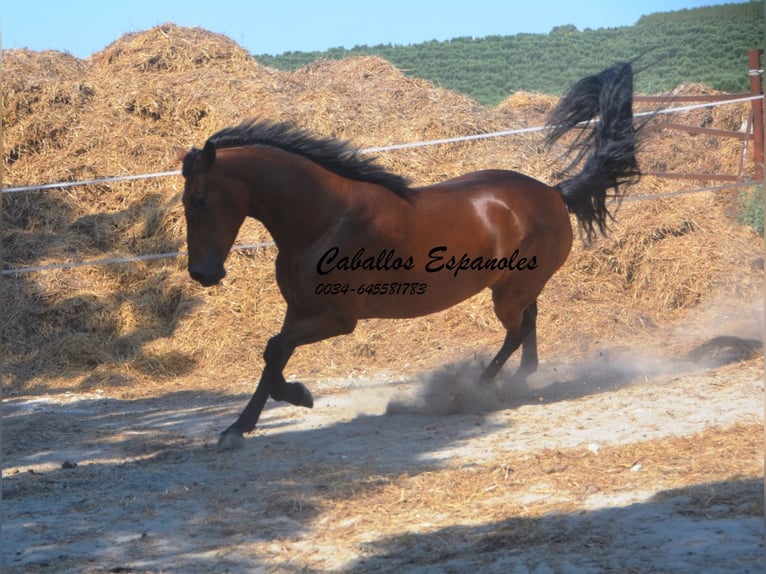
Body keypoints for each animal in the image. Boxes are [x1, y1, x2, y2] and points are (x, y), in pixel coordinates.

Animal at [174, 62, 640, 449]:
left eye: (199, 200)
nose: (202, 273)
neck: (326, 219)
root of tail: (555, 193)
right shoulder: (299, 311)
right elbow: (275, 356)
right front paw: (239, 426)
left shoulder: (337, 318)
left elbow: (273, 351)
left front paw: (297, 398)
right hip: (519, 287)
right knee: (530, 324)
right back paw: (519, 381)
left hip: (508, 293)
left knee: (517, 331)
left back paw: (473, 390)